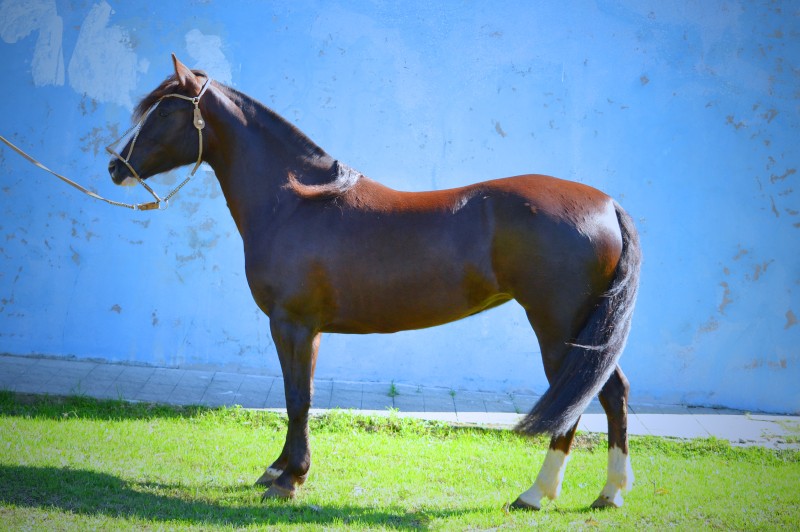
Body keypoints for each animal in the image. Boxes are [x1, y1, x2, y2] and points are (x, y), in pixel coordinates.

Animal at [108, 55, 641, 510]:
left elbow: (297, 398)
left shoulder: (290, 324)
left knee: (583, 397)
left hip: (559, 328)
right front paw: (278, 468)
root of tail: (607, 204)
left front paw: (289, 479)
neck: (296, 202)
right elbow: (299, 395)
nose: (115, 166)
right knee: (612, 393)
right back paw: (609, 494)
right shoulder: (310, 330)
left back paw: (536, 494)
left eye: (165, 112)